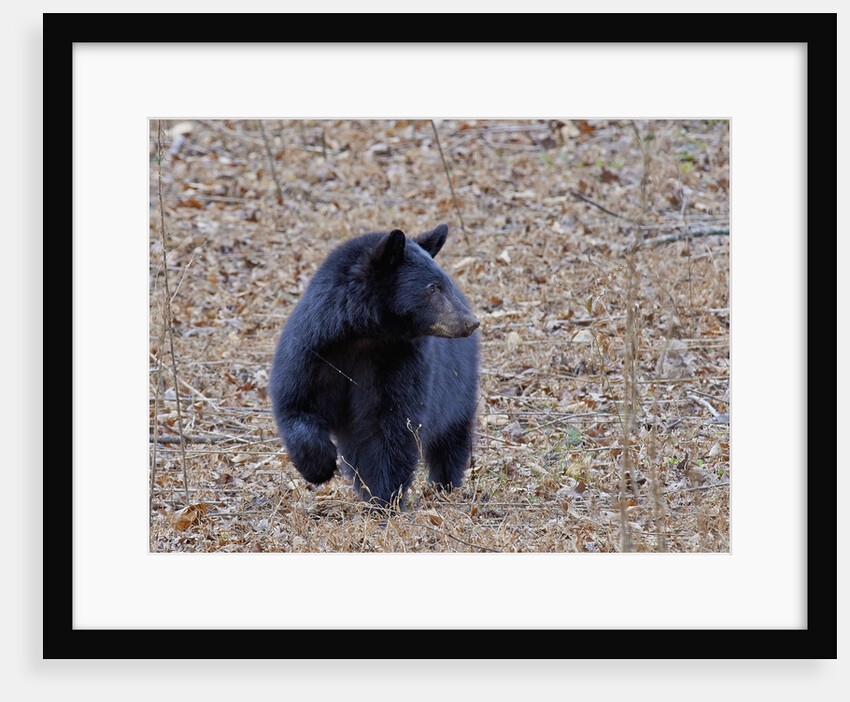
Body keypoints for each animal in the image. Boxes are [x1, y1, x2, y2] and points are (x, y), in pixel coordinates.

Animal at [269, 224, 479, 509]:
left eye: (443, 284)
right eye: (433, 288)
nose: (471, 322)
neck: (362, 334)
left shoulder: (400, 360)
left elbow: (392, 425)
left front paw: (383, 498)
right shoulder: (311, 350)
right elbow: (295, 402)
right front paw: (319, 467)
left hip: (459, 385)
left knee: (452, 438)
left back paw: (444, 485)